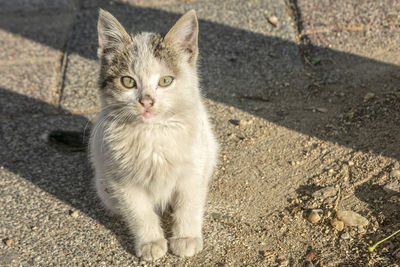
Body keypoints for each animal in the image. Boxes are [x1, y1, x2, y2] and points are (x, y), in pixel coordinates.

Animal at [89, 8, 217, 262]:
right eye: (128, 81)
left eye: (165, 81)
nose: (146, 101)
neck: (152, 134)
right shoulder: (121, 181)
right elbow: (139, 212)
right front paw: (150, 242)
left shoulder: (193, 170)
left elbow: (189, 203)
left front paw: (186, 238)